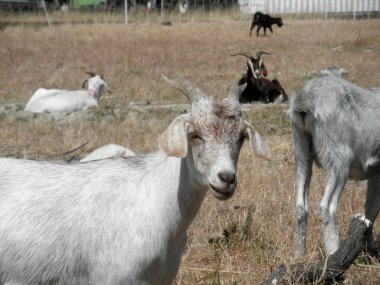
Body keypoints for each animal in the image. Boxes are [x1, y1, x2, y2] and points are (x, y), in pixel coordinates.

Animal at [290, 67, 380, 258]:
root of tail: (305, 99)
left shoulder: (376, 172)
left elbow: (370, 209)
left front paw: (369, 250)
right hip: (339, 160)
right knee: (327, 208)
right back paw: (334, 255)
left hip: (301, 153)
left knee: (300, 206)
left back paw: (300, 255)